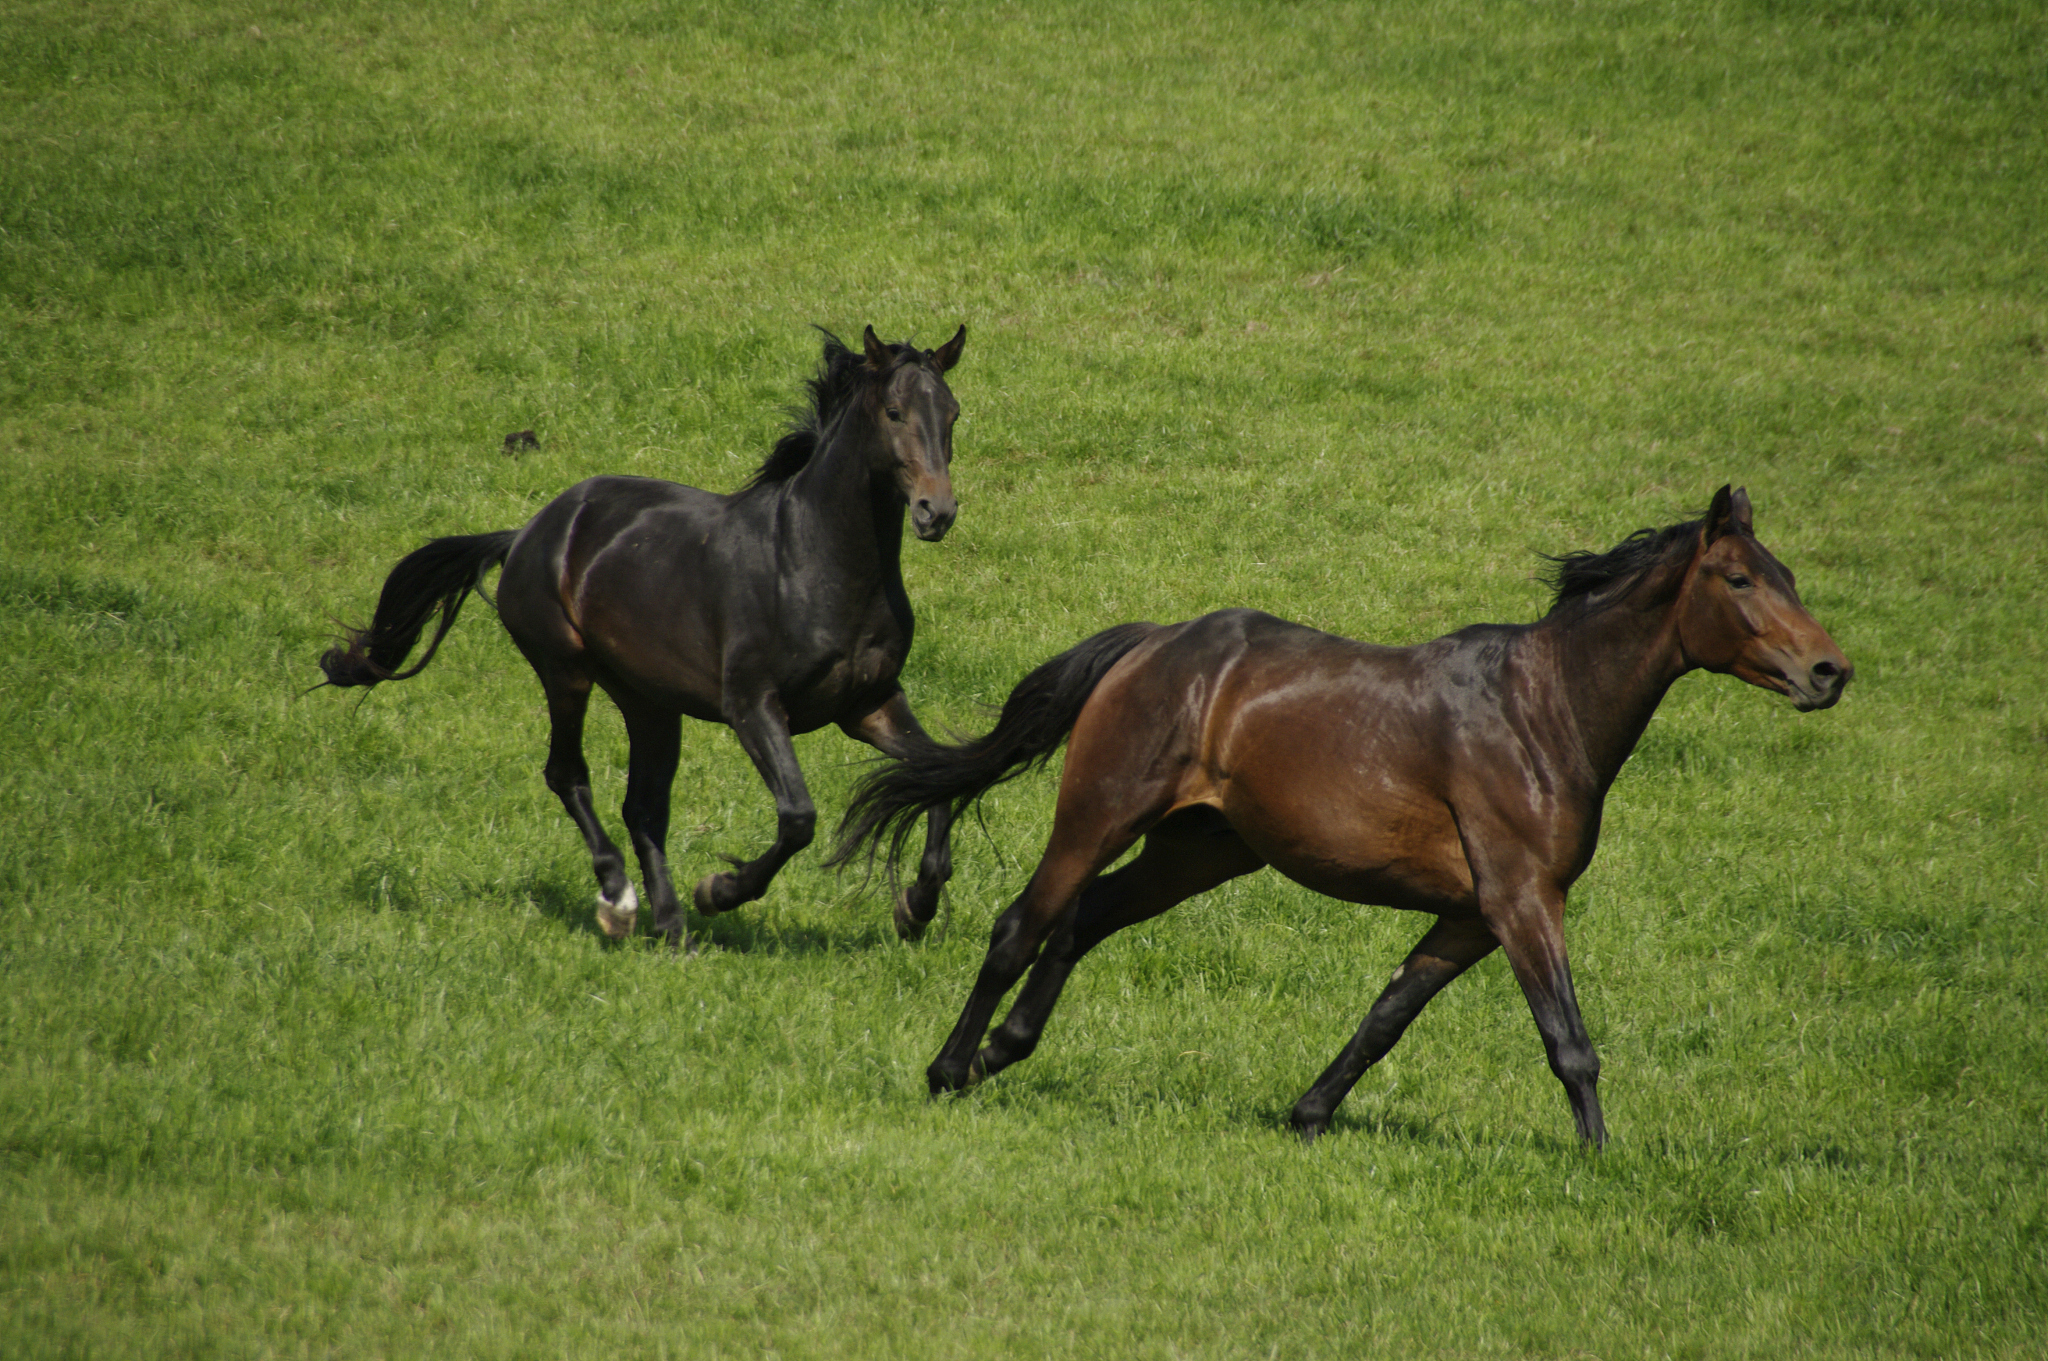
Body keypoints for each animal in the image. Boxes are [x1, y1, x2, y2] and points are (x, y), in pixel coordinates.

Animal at [320, 324, 967, 948]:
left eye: (953, 413)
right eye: (893, 412)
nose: (936, 512)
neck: (814, 560)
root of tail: (527, 534)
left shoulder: (869, 704)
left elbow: (936, 777)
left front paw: (916, 908)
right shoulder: (753, 706)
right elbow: (798, 817)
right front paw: (720, 891)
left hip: (649, 703)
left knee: (643, 809)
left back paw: (672, 927)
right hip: (565, 672)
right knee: (568, 775)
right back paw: (621, 902)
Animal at [831, 486, 1850, 1146]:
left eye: (1789, 574)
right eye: (1739, 580)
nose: (1830, 671)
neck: (1540, 709)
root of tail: (1153, 644)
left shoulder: (1468, 915)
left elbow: (1387, 1013)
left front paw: (1309, 1114)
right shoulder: (1522, 899)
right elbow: (1569, 1042)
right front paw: (1601, 1159)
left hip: (1200, 850)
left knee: (1082, 919)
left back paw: (1003, 1051)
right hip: (1100, 814)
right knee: (1021, 924)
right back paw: (949, 1068)